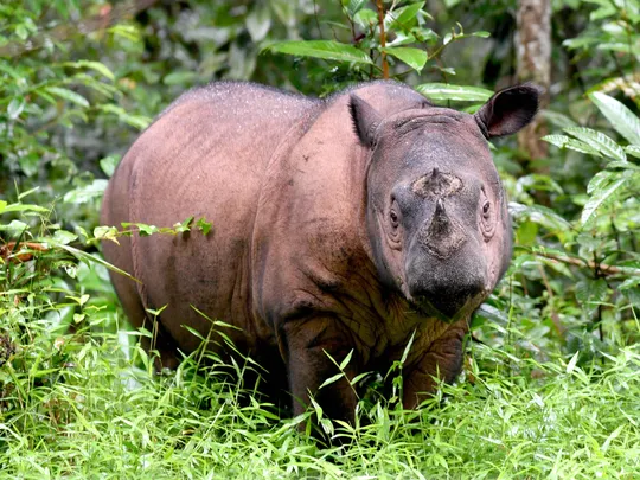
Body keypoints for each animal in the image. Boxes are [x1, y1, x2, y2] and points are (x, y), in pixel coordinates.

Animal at [101, 80, 540, 422]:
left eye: (487, 209)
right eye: (392, 217)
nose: (449, 282)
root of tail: (143, 136)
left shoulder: (448, 324)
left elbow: (424, 405)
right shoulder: (309, 312)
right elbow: (329, 409)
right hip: (117, 208)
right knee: (154, 338)